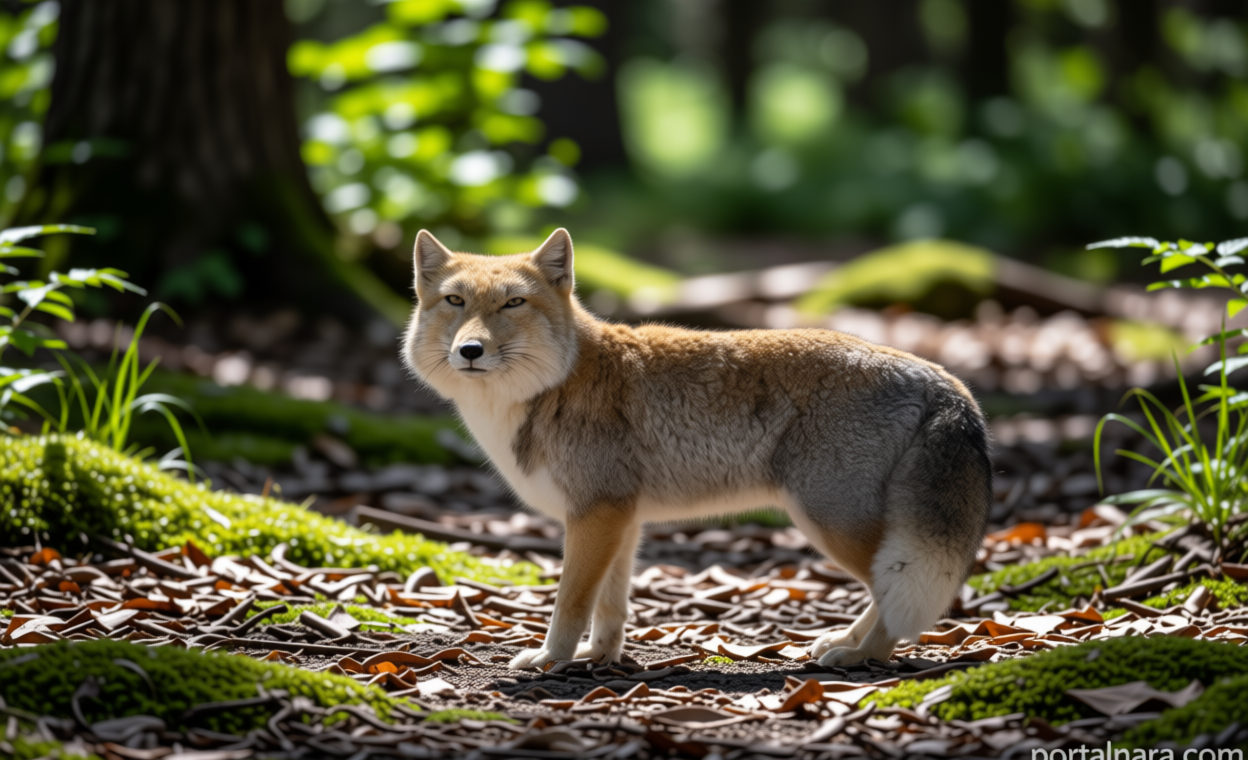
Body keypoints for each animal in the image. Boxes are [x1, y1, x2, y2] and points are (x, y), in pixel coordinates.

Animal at [402, 228, 992, 670]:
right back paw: (846, 644)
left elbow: (570, 601)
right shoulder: (620, 520)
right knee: (888, 594)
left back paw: (861, 655)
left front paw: (552, 659)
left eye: (513, 303)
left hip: (831, 525)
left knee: (891, 597)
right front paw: (598, 657)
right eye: (455, 302)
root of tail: (943, 378)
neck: (555, 385)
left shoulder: (595, 515)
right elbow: (610, 607)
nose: (470, 350)